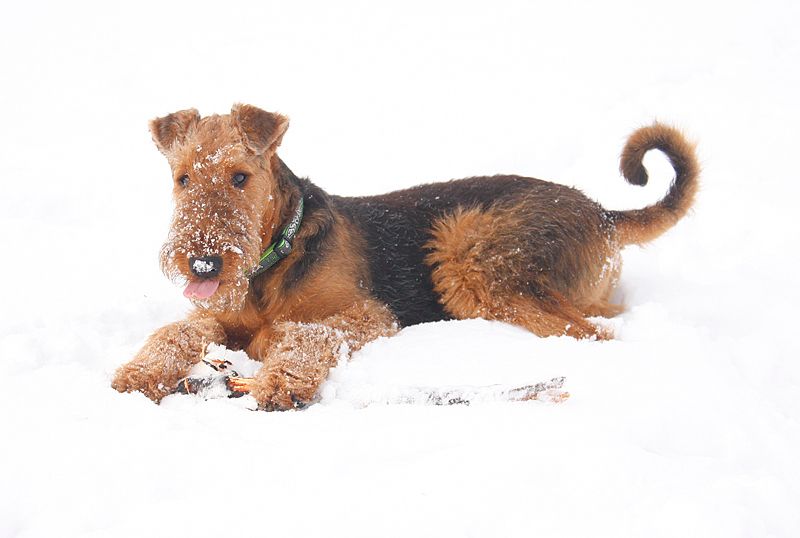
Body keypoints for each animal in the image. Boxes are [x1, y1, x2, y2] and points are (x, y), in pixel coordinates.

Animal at [109, 103, 696, 406]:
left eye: (240, 177)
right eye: (182, 178)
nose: (203, 264)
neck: (273, 259)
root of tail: (605, 214)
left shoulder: (368, 315)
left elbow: (304, 331)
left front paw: (280, 377)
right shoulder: (215, 313)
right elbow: (177, 330)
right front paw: (139, 375)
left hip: (466, 247)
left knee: (592, 333)